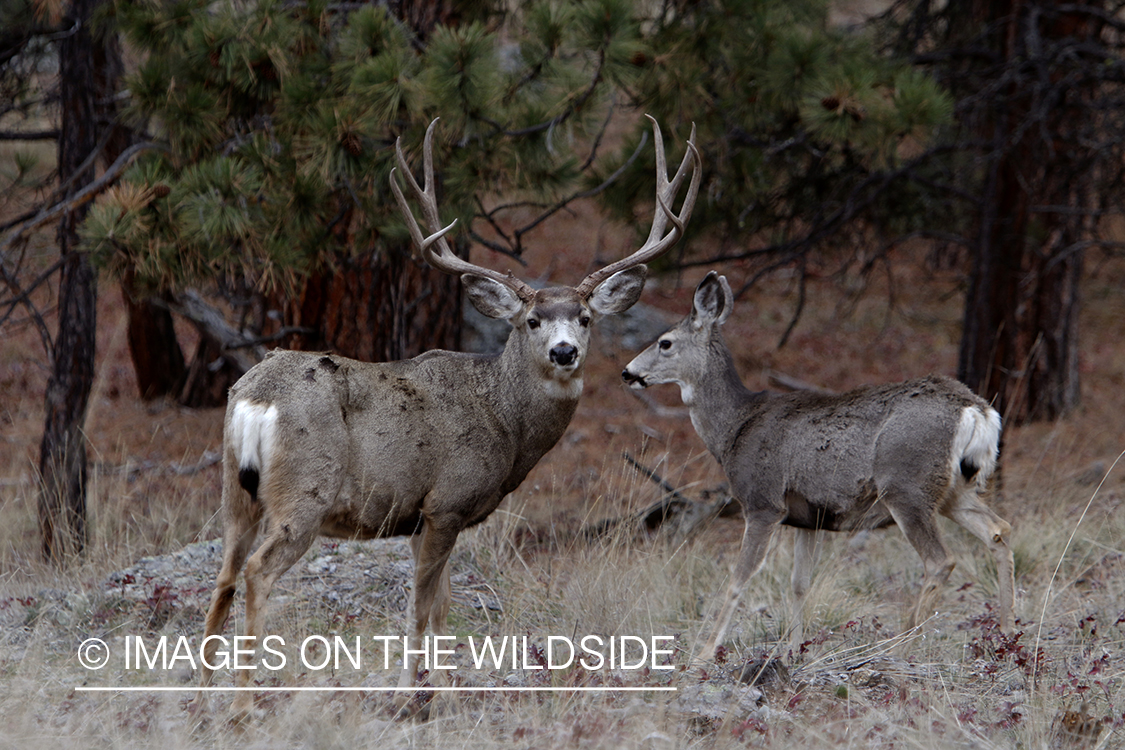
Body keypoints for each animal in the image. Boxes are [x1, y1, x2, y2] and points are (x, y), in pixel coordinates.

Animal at [195, 118, 701, 717]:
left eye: (583, 317)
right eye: (532, 320)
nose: (564, 352)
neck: (505, 422)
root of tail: (257, 395)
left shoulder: (418, 517)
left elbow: (441, 605)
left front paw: (438, 688)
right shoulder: (448, 502)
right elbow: (423, 606)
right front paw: (413, 695)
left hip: (236, 490)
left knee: (223, 575)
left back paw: (198, 694)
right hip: (305, 491)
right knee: (256, 572)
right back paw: (243, 703)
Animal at [621, 271, 1015, 662]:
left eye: (665, 343)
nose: (627, 372)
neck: (734, 427)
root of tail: (976, 410)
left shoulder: (763, 502)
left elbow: (739, 579)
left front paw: (704, 653)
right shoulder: (807, 517)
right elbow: (799, 584)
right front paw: (794, 650)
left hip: (906, 485)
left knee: (940, 560)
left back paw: (900, 644)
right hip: (953, 489)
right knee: (999, 530)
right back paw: (1007, 634)